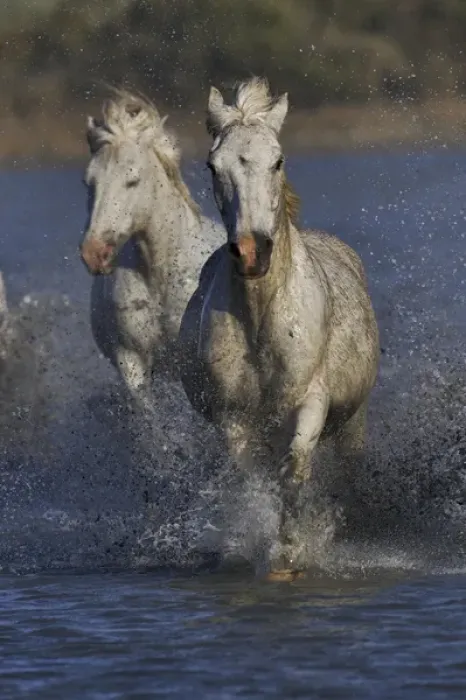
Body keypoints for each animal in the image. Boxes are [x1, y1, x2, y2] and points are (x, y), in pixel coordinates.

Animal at [179, 78, 380, 576]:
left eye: (278, 159)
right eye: (213, 165)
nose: (253, 252)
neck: (261, 319)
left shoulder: (310, 401)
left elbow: (295, 469)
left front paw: (289, 551)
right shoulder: (233, 417)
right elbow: (254, 479)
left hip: (352, 422)